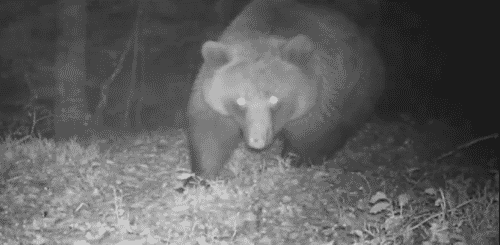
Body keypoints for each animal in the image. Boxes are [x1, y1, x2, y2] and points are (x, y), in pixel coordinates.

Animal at [187, 0, 382, 180]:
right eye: (241, 100)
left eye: (274, 98)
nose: (257, 140)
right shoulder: (214, 97)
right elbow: (211, 133)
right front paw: (200, 176)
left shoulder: (316, 99)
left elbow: (309, 136)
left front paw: (293, 161)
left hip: (358, 90)